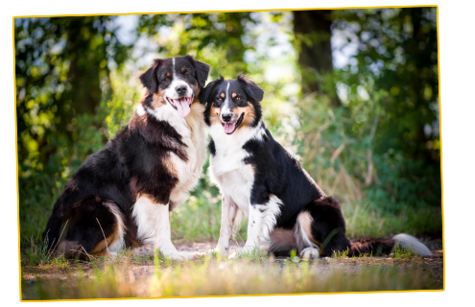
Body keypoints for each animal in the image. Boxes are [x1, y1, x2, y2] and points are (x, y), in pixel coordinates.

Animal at [42, 55, 210, 260]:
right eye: (166, 79)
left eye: (187, 74)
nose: (181, 89)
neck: (178, 124)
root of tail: (46, 242)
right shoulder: (154, 187)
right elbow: (163, 227)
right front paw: (174, 255)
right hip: (103, 206)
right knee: (76, 251)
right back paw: (118, 256)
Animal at [201, 75, 436, 260]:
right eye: (218, 100)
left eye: (238, 98)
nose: (226, 116)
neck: (235, 142)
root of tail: (348, 240)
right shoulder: (228, 193)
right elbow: (224, 228)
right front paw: (218, 253)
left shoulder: (260, 192)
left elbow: (252, 227)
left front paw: (246, 253)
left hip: (312, 210)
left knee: (331, 249)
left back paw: (309, 253)